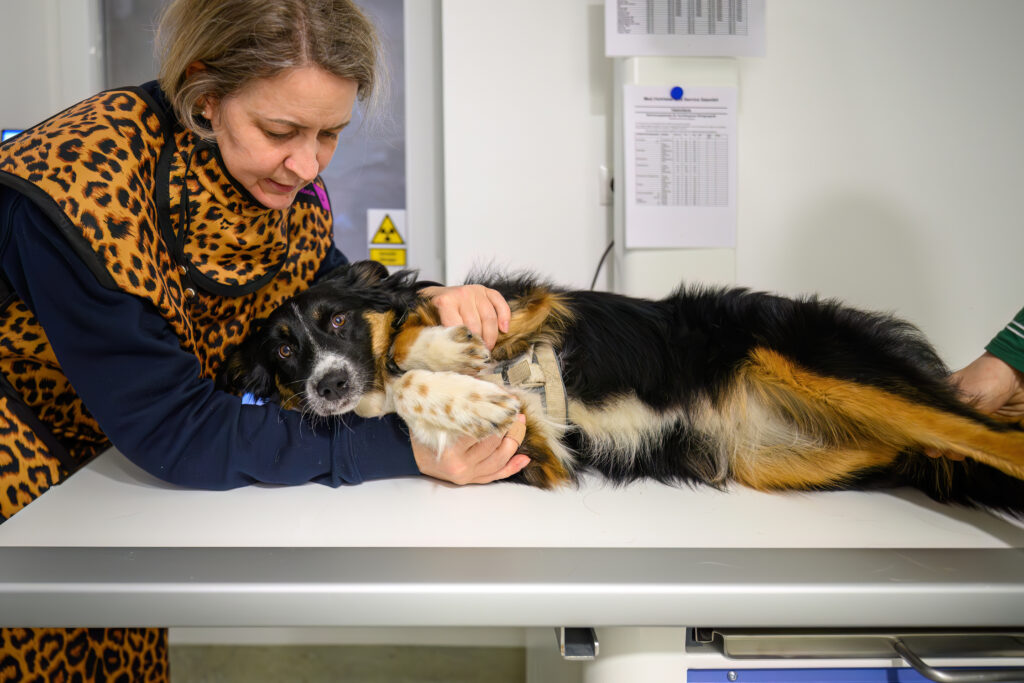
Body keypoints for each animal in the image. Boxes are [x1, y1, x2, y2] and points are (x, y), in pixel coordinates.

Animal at [218, 259, 1024, 516]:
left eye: (336, 320)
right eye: (284, 351)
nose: (327, 385)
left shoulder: (527, 309)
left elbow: (413, 341)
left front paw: (448, 352)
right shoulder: (541, 452)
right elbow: (417, 399)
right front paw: (468, 398)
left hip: (827, 366)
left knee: (996, 434)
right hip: (793, 457)